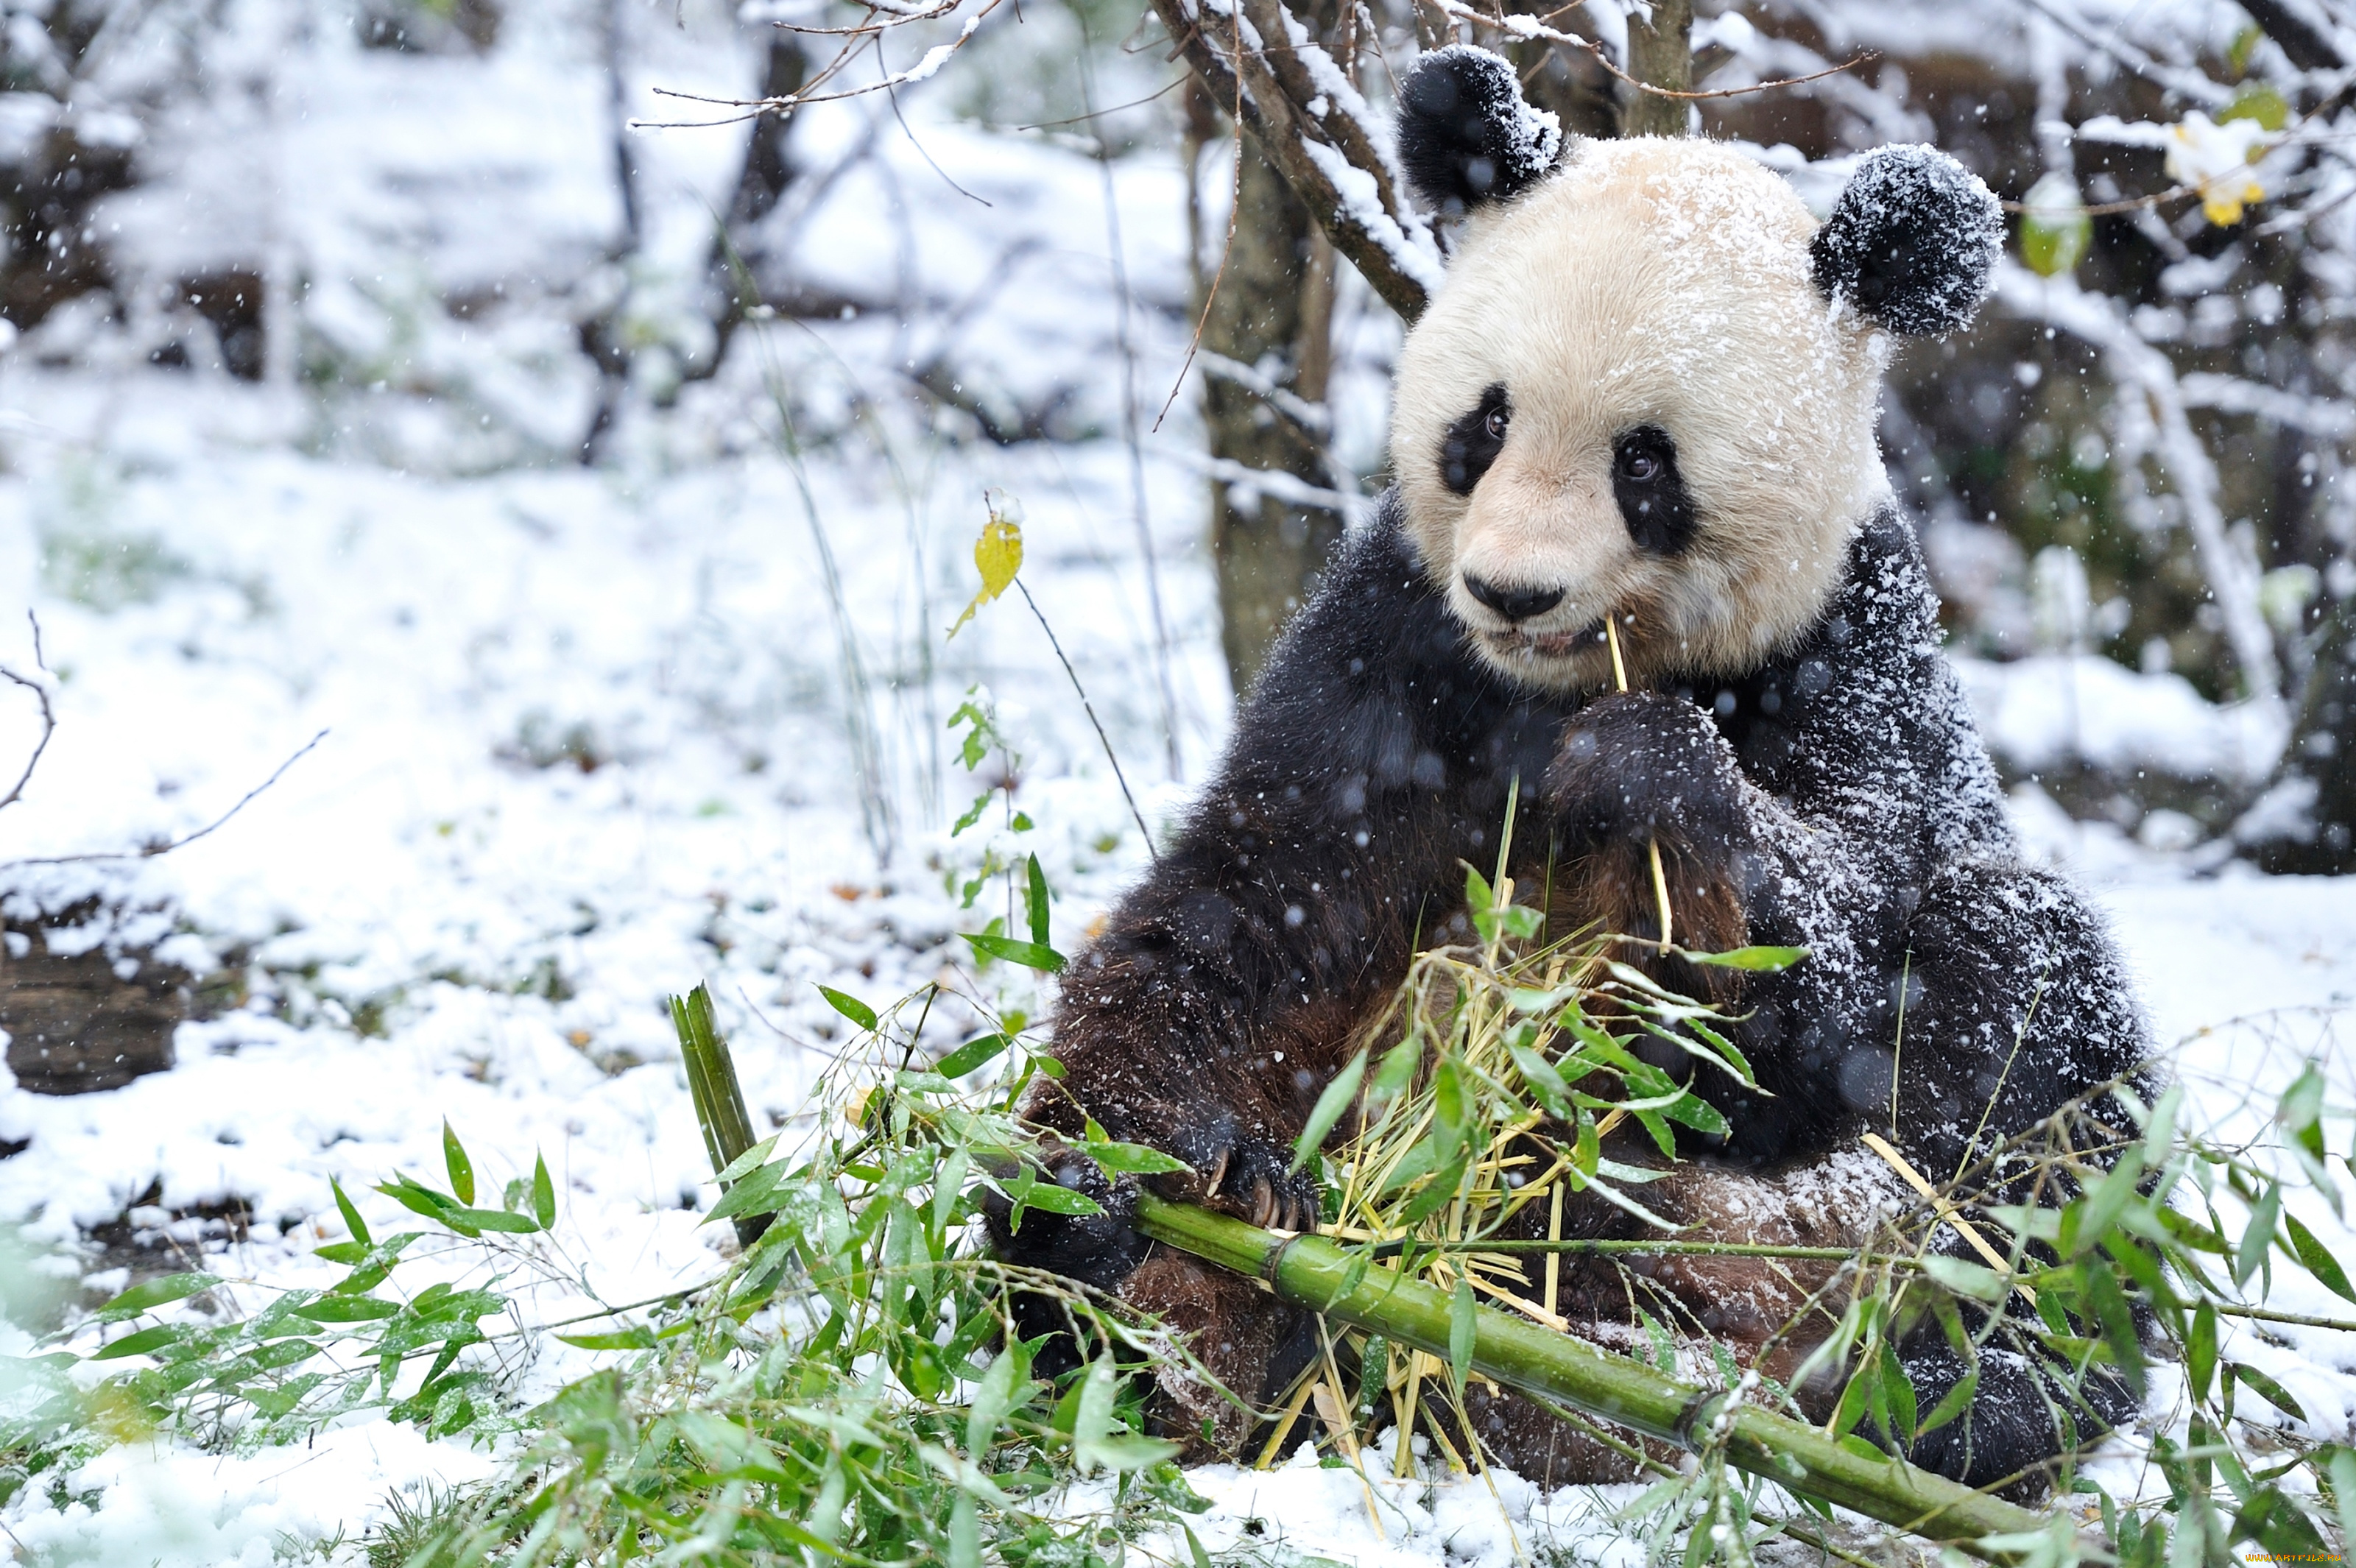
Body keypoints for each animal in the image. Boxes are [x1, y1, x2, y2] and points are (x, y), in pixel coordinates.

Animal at [990, 49, 2158, 1488]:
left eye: (1645, 460)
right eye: (1483, 425)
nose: (1513, 588)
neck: (1571, 677)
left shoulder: (1854, 658)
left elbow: (1822, 975)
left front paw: (1639, 776)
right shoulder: (1391, 655)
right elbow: (1248, 908)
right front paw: (1168, 1156)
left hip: (1875, 1228)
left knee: (2031, 1020)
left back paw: (1958, 1389)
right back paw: (1090, 1253)